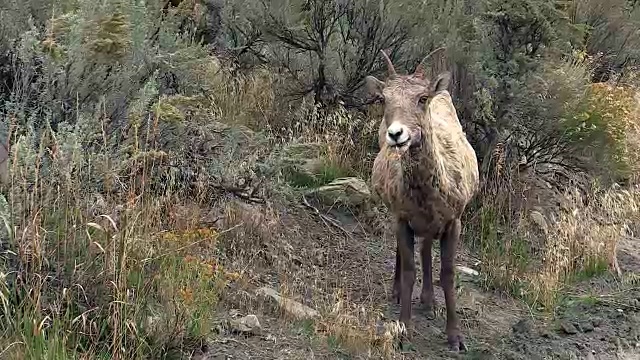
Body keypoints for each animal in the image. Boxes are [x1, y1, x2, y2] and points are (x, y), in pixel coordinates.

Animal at [368, 49, 478, 350]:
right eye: (383, 99)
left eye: (422, 98)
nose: (396, 134)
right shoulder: (403, 218)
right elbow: (409, 272)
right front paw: (403, 330)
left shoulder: (453, 222)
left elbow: (447, 275)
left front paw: (455, 338)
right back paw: (399, 293)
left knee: (427, 248)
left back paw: (428, 300)